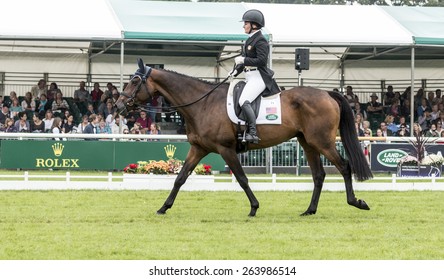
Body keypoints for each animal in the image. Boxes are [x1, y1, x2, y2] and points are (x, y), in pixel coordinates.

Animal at [116, 58, 372, 217]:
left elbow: (241, 178)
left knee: (344, 167)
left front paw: (254, 208)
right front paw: (163, 207)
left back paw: (357, 202)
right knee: (318, 175)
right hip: (307, 142)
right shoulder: (198, 148)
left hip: (322, 142)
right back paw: (309, 210)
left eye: (135, 81)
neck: (203, 103)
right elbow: (180, 178)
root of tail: (327, 94)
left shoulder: (226, 149)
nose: (118, 106)